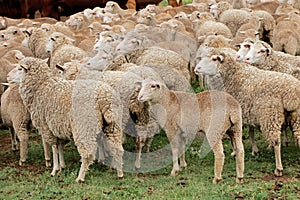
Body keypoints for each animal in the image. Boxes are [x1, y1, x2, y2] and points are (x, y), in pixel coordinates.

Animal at [195, 47, 300, 176]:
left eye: (214, 59)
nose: (196, 69)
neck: (234, 76)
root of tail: (291, 93)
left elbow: (235, 136)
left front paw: (235, 152)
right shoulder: (248, 113)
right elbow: (250, 133)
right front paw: (254, 151)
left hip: (270, 117)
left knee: (276, 142)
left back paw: (278, 168)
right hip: (296, 116)